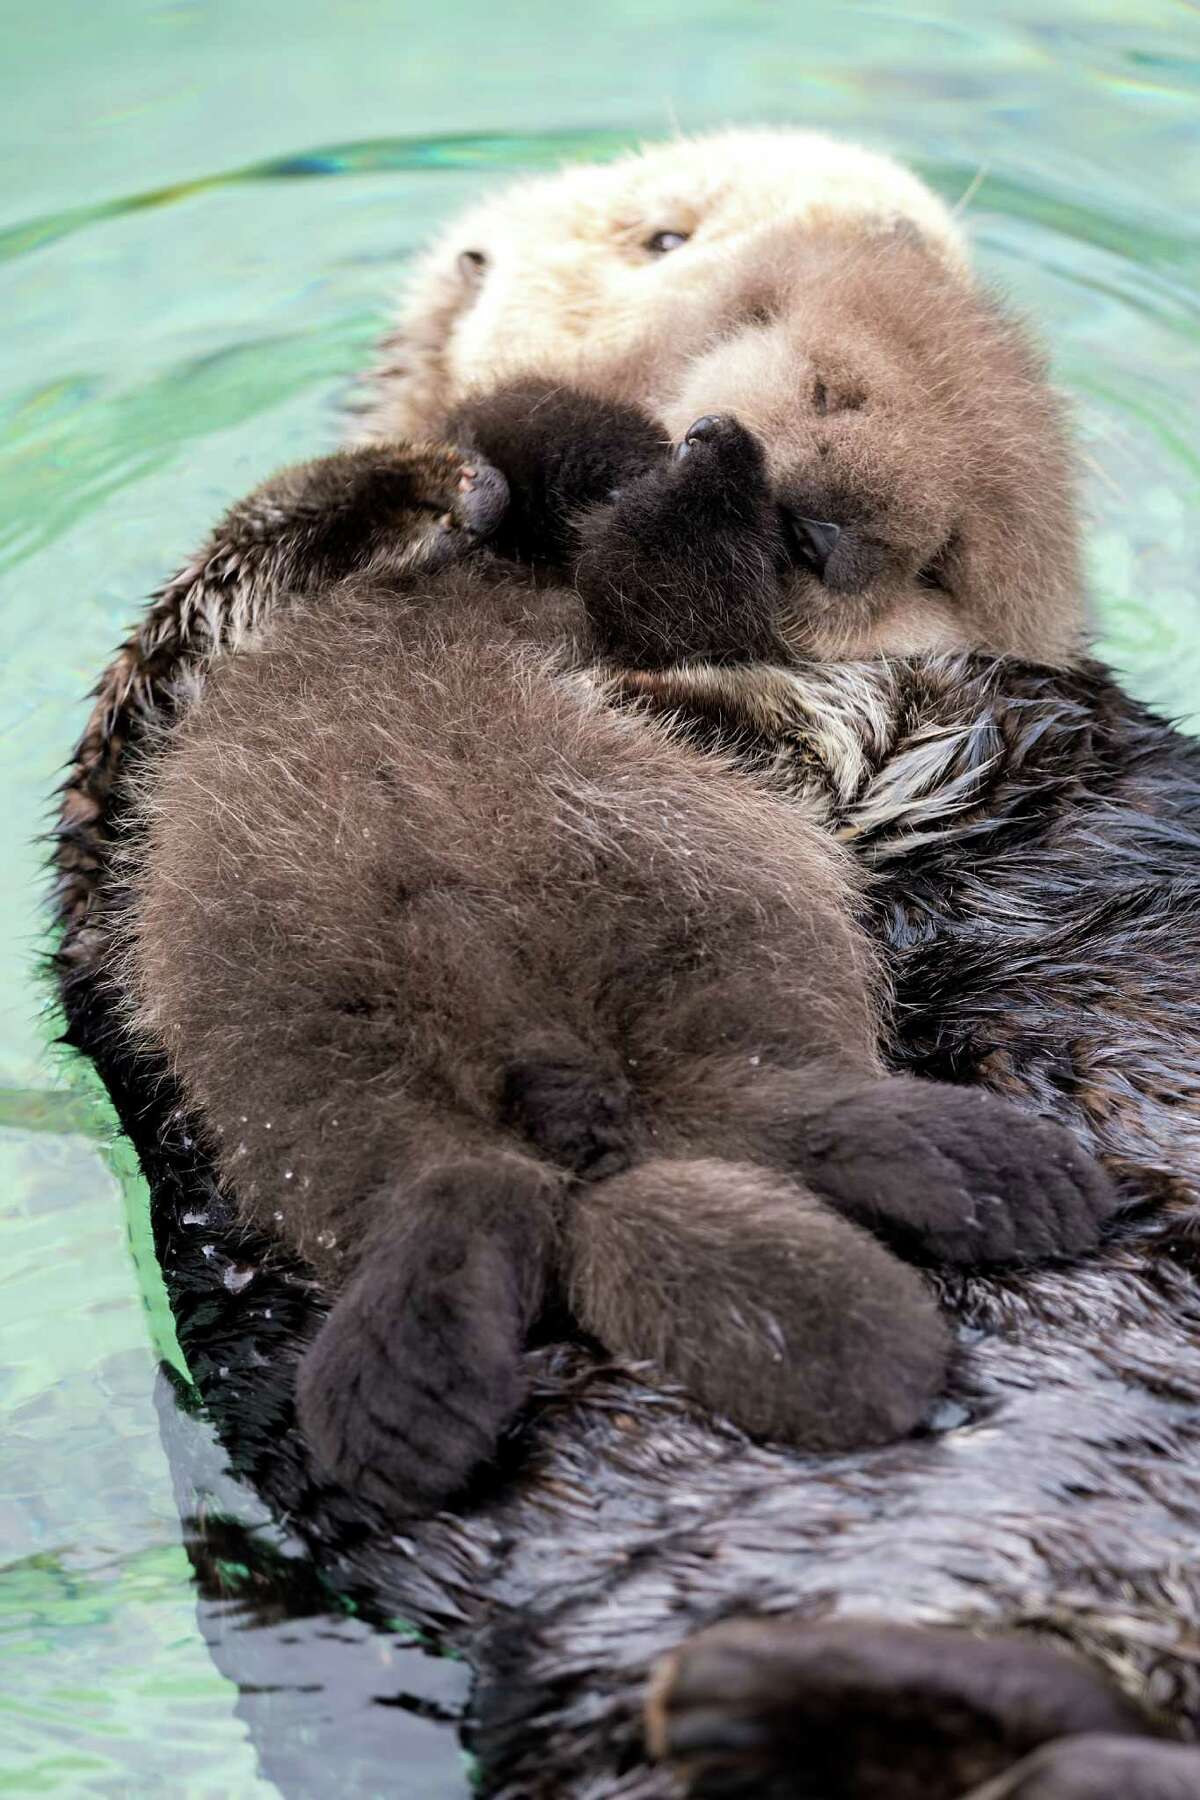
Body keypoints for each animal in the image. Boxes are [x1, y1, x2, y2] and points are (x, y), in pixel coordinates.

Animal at [53, 130, 1200, 1795]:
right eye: (668, 242)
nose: (809, 509)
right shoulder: (125, 837)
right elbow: (182, 648)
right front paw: (439, 477)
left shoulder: (938, 713)